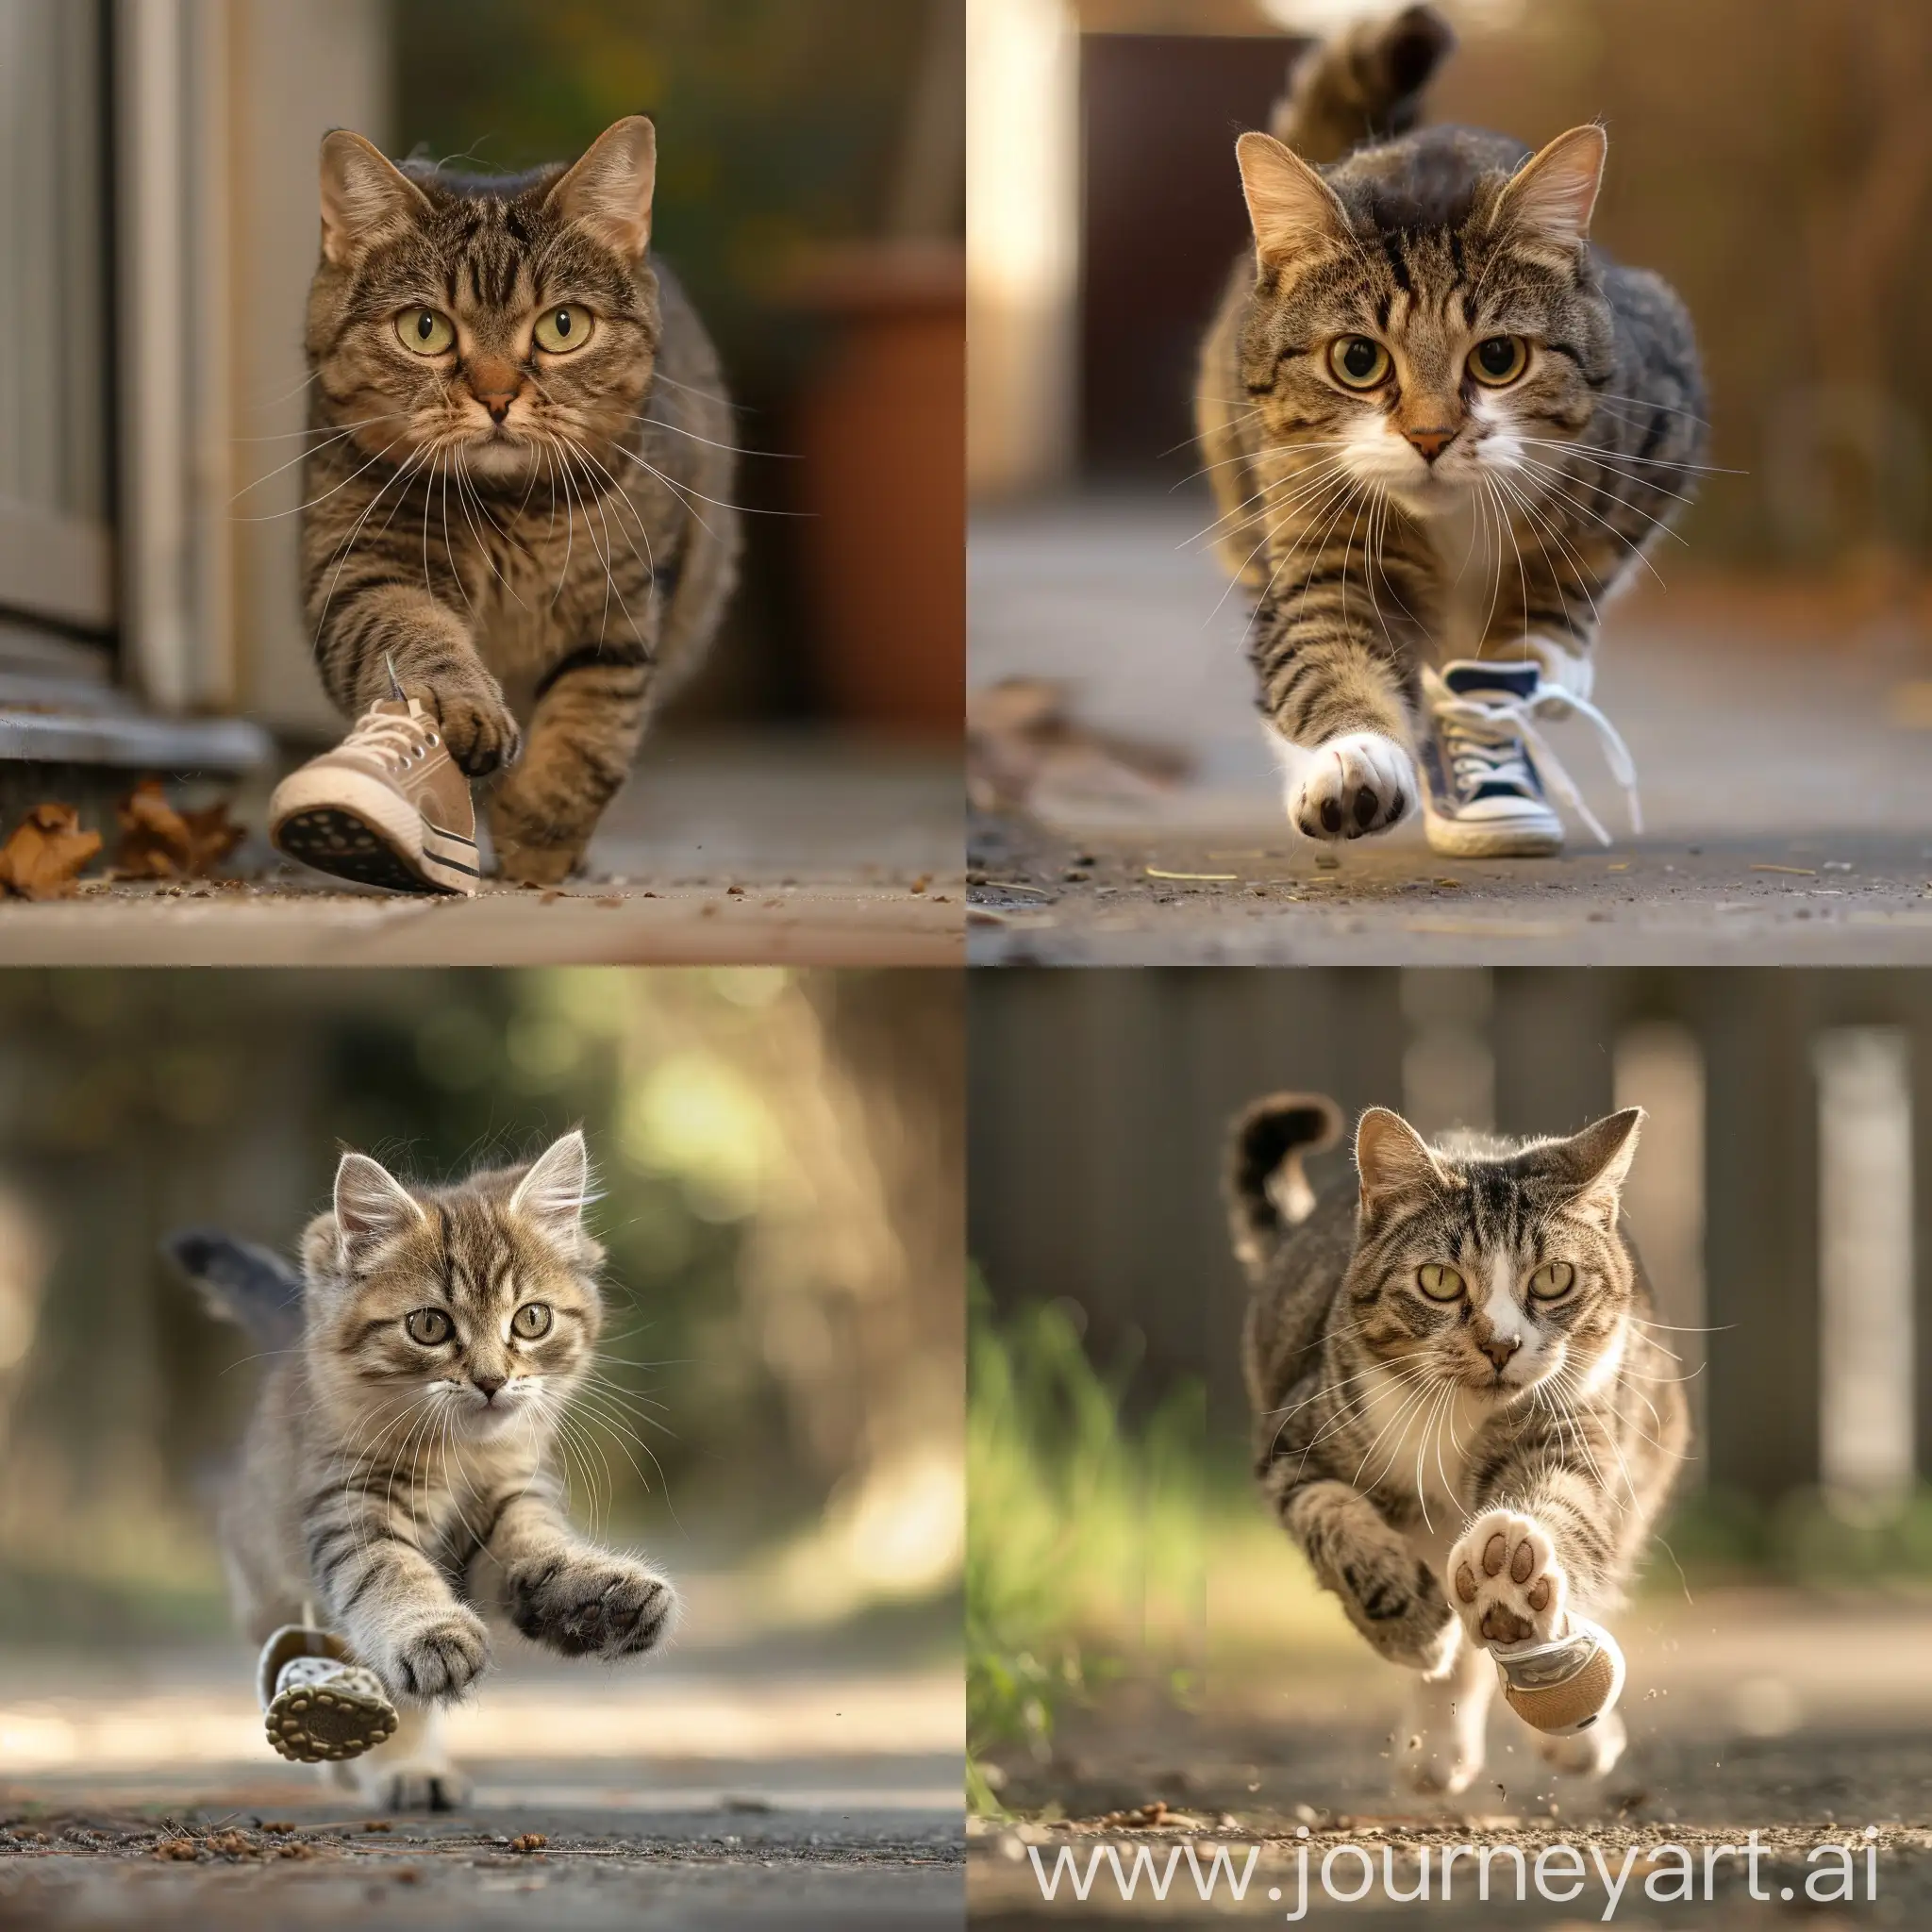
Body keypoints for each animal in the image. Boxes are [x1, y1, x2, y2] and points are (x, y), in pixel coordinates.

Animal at [181, 1128, 675, 1807]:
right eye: (429, 1326)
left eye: (532, 1319)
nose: (492, 1381)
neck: (459, 1458)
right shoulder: (350, 1510)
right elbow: (391, 1577)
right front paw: (432, 1634)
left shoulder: (510, 1510)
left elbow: (547, 1555)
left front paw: (602, 1594)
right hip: (271, 1595)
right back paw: (398, 1769)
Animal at [301, 112, 738, 884]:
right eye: (425, 329)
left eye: (563, 326)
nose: (498, 395)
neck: (509, 512)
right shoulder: (362, 569)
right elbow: (414, 637)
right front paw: (461, 715)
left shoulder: (626, 607)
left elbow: (593, 731)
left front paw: (539, 834)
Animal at [1190, 6, 1707, 838]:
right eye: (1358, 360)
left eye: (1498, 358)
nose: (1431, 437)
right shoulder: (1318, 537)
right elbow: (1317, 648)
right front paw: (1353, 761)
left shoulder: (1660, 429)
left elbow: (1578, 567)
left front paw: (1538, 651)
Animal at [1228, 1097, 1684, 1785]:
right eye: (1440, 1281)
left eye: (1553, 1278)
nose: (1501, 1344)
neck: (1455, 1415)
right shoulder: (1293, 1444)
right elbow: (1329, 1516)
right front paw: (1411, 1623)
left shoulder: (1571, 1427)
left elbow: (1562, 1504)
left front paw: (1511, 1575)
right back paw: (1438, 1745)